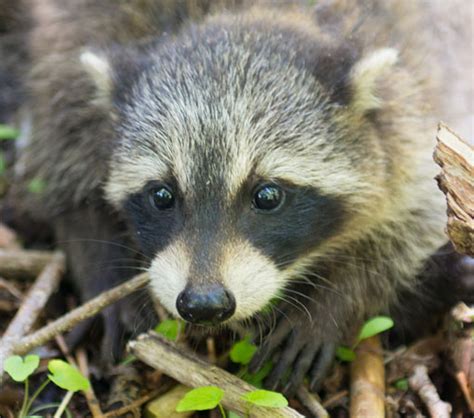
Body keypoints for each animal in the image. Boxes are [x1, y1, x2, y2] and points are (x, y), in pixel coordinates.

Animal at [2, 0, 470, 394]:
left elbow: (412, 218)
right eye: (161, 195)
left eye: (267, 195)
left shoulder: (414, 100)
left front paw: (337, 299)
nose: (204, 304)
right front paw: (105, 270)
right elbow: (67, 185)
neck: (245, 14)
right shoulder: (66, 68)